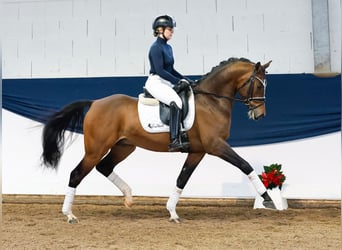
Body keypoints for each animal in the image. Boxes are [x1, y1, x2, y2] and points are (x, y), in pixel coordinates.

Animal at [41, 57, 274, 224]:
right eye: (259, 86)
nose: (260, 115)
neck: (212, 101)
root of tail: (95, 103)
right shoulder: (216, 145)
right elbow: (245, 165)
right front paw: (268, 199)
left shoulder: (198, 151)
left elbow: (182, 179)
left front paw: (172, 213)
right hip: (95, 149)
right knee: (77, 173)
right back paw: (69, 215)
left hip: (124, 147)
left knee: (104, 167)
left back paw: (128, 197)